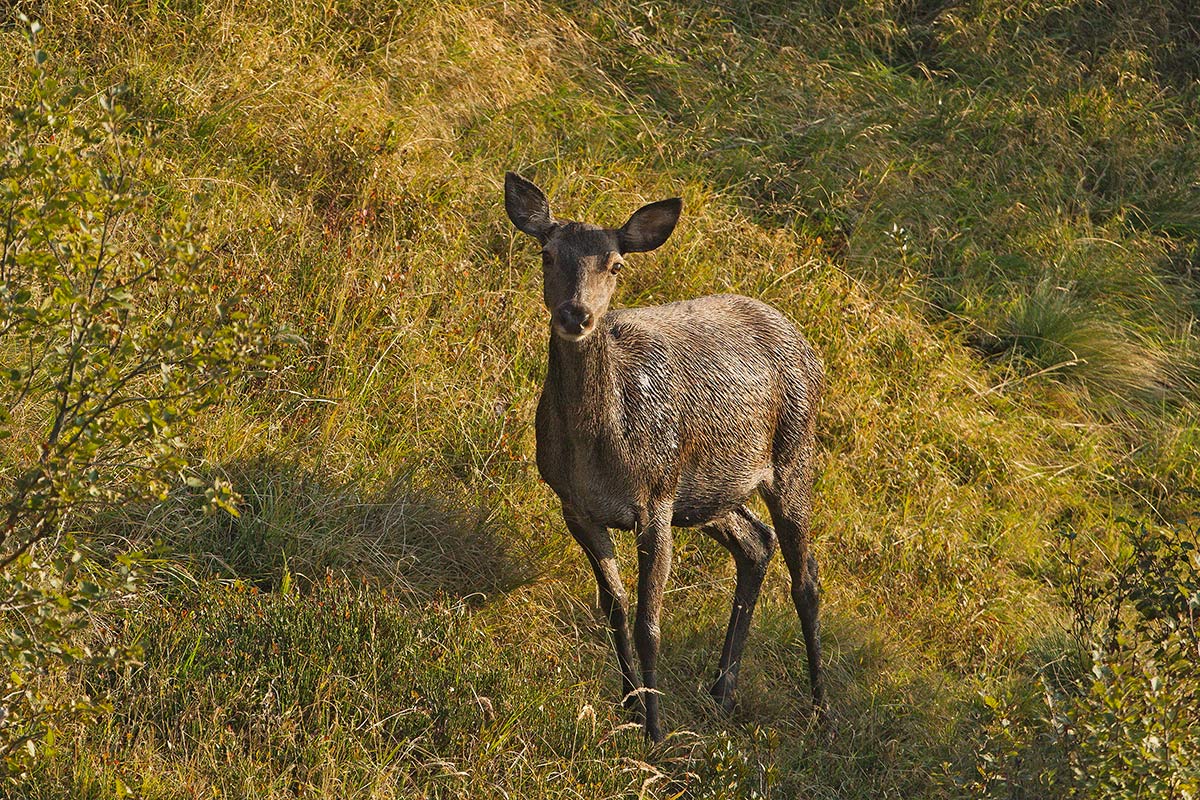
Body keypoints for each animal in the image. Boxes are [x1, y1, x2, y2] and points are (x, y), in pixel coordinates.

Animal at [504, 172, 826, 742]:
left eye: (615, 265)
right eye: (546, 253)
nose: (576, 314)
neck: (601, 452)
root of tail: (803, 338)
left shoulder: (654, 498)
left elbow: (649, 624)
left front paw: (655, 732)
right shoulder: (576, 507)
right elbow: (614, 610)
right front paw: (629, 705)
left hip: (792, 453)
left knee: (806, 578)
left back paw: (821, 709)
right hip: (707, 494)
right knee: (757, 544)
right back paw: (722, 690)